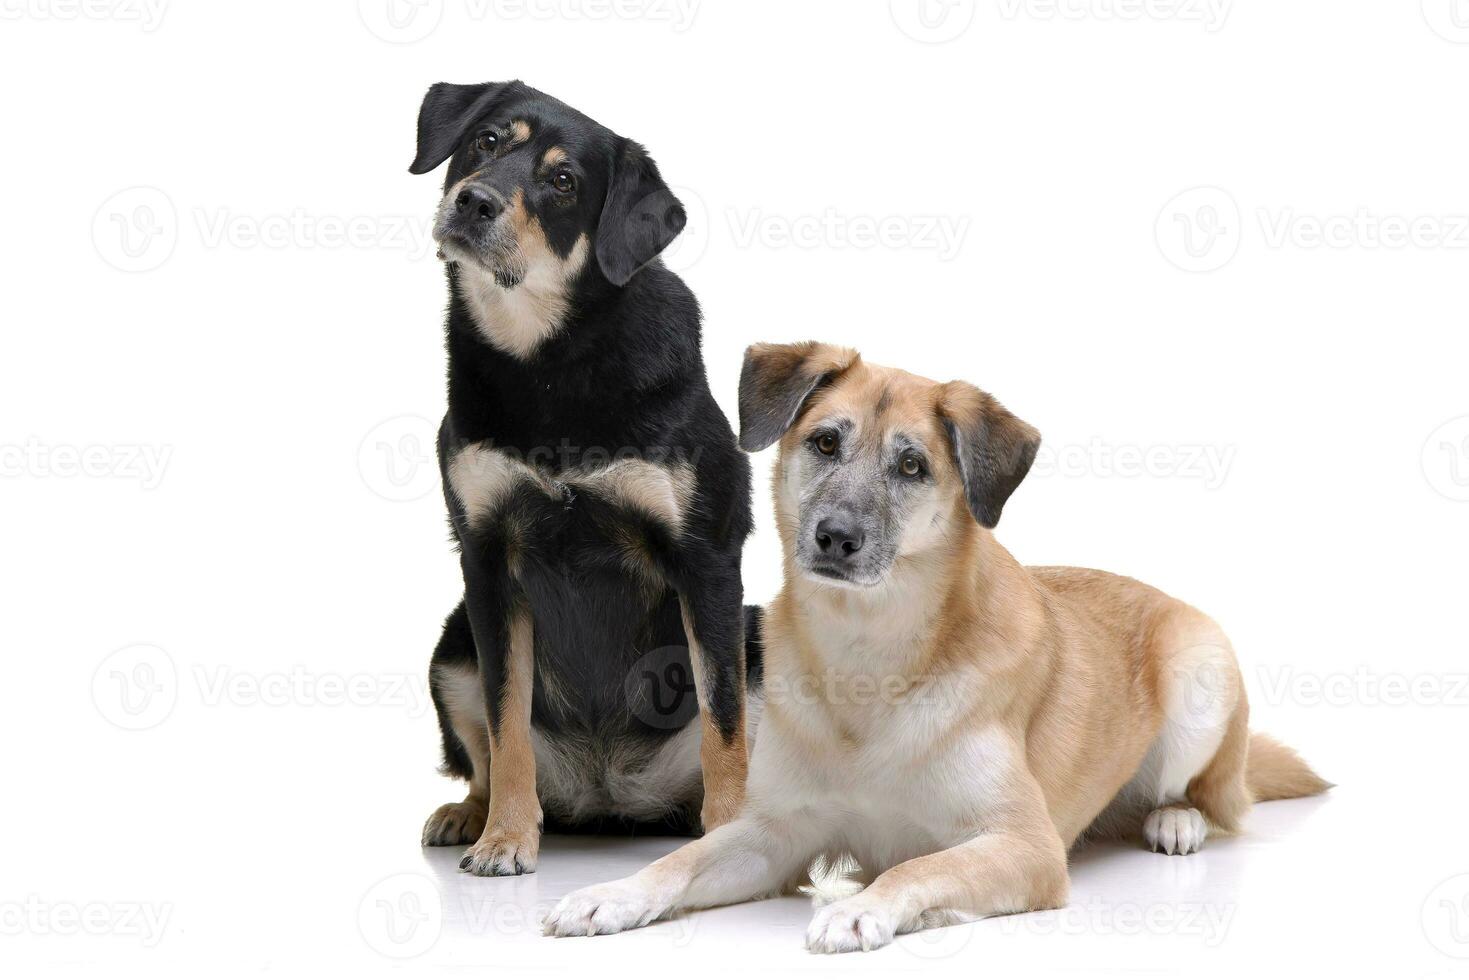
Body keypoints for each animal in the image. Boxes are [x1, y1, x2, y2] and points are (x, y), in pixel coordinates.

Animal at [414, 82, 758, 881]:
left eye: (565, 182)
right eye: (485, 141)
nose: (474, 201)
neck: (549, 360)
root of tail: (609, 795)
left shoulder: (706, 560)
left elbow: (723, 719)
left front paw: (729, 838)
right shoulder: (487, 561)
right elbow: (505, 720)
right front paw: (507, 837)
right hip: (449, 644)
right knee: (482, 759)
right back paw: (469, 814)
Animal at [543, 343, 1333, 952]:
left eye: (912, 467)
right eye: (825, 442)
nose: (834, 537)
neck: (867, 652)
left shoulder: (1023, 845)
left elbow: (915, 868)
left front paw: (860, 907)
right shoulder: (772, 837)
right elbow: (681, 860)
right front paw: (611, 892)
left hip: (1201, 670)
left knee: (1210, 795)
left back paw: (1175, 819)